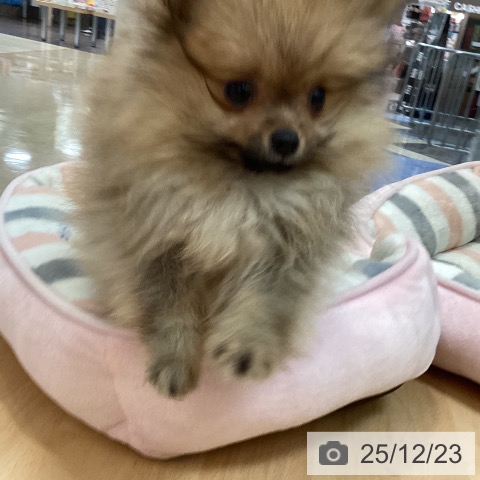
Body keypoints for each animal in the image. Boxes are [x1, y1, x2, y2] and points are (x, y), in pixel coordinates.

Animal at [71, 0, 402, 398]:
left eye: (318, 98)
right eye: (239, 91)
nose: (287, 139)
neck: (243, 188)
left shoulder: (284, 244)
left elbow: (264, 298)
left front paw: (247, 348)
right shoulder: (162, 239)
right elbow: (169, 306)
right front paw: (174, 361)